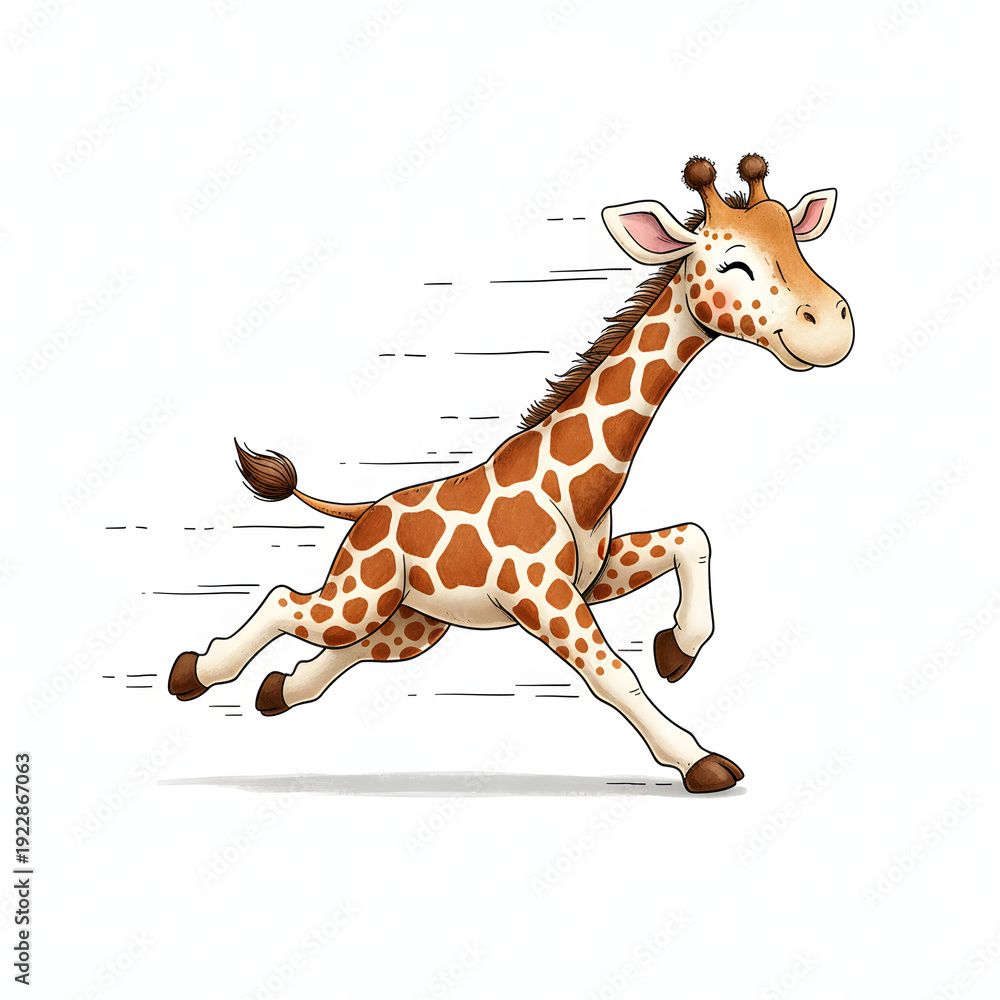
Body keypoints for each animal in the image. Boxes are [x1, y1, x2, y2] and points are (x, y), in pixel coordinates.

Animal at [169, 153, 853, 793]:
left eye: (797, 244)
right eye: (735, 264)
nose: (832, 328)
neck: (578, 485)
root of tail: (365, 511)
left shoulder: (593, 576)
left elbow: (692, 538)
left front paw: (676, 650)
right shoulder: (541, 595)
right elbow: (613, 675)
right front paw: (700, 762)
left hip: (413, 624)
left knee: (338, 655)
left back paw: (273, 692)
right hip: (363, 594)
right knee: (286, 602)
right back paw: (191, 674)